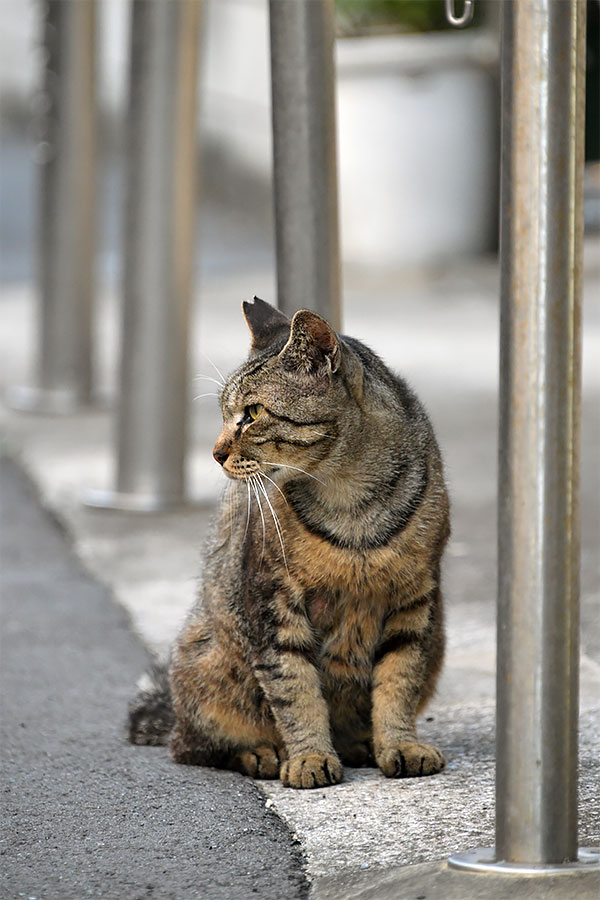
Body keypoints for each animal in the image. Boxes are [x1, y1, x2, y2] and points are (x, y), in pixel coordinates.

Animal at [129, 298, 448, 788]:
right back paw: (262, 752)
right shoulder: (272, 602)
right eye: (224, 414)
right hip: (206, 666)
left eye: (253, 413)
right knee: (193, 746)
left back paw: (359, 744)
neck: (350, 501)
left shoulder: (415, 602)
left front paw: (400, 745)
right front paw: (309, 756)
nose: (215, 453)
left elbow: (399, 682)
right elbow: (295, 691)